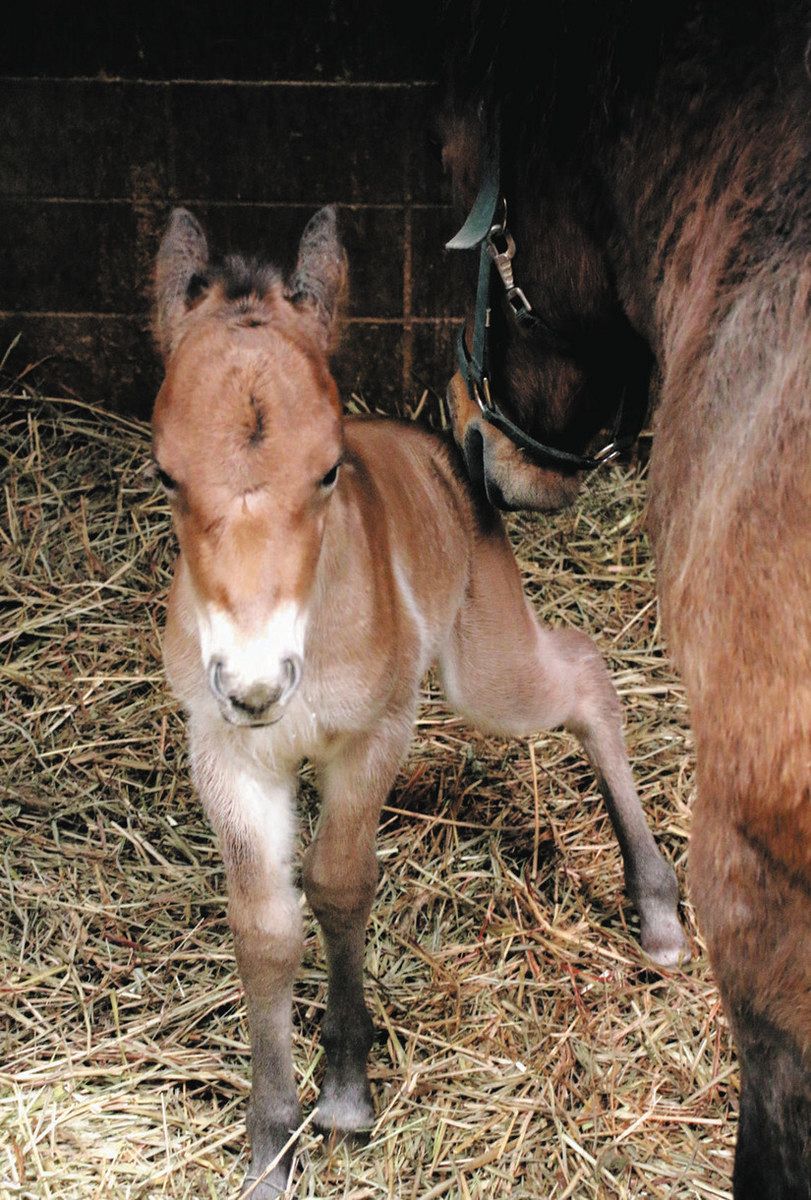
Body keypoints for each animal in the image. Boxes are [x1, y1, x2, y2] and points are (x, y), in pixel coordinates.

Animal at [150, 204, 687, 1195]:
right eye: (166, 473)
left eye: (328, 469)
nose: (256, 679)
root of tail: (444, 448)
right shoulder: (227, 749)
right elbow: (266, 925)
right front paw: (272, 1143)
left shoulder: (375, 732)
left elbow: (339, 882)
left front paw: (346, 1092)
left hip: (488, 670)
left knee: (585, 677)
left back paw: (658, 911)